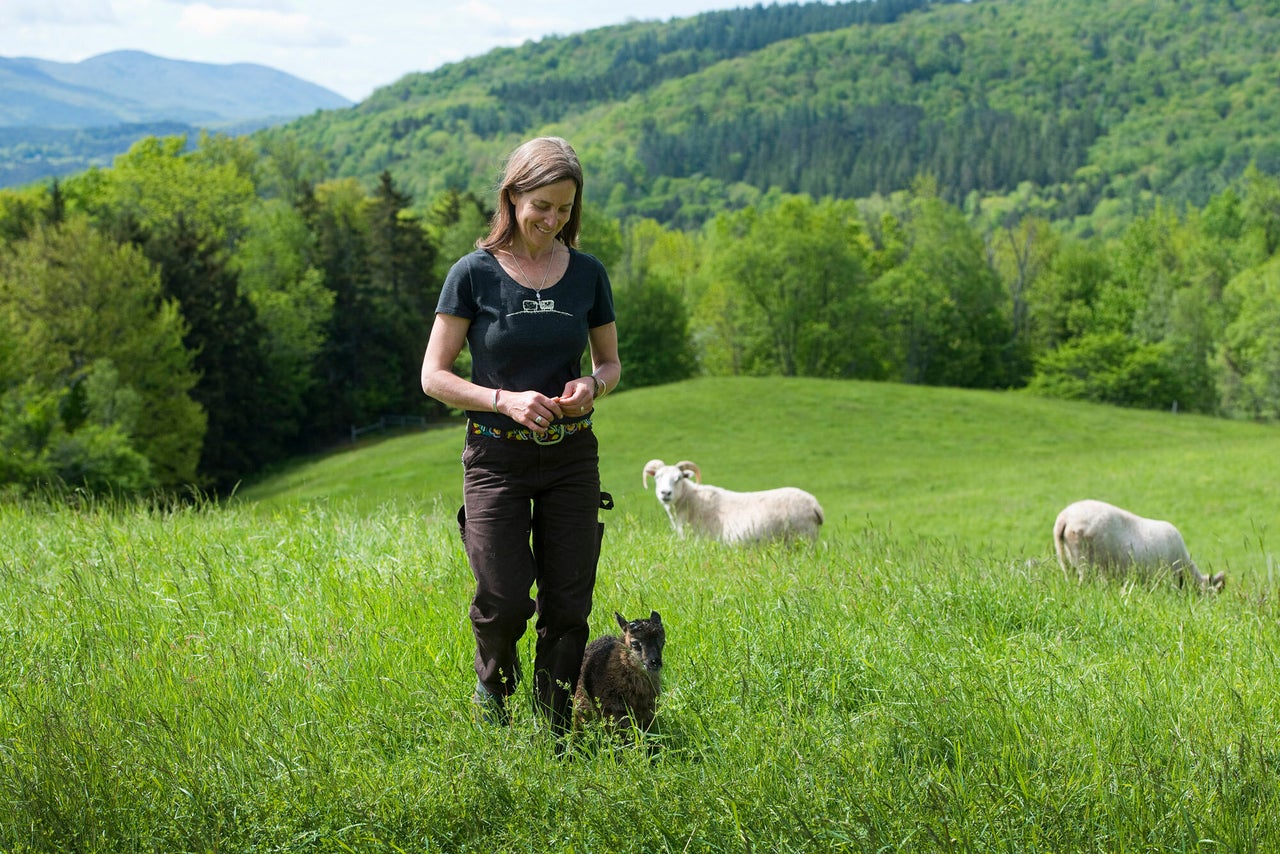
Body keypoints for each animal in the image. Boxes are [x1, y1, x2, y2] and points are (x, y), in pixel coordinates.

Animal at [645, 458, 824, 545]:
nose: (665, 493)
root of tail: (815, 505)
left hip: (803, 538)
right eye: (657, 477)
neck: (689, 501)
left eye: (679, 478)